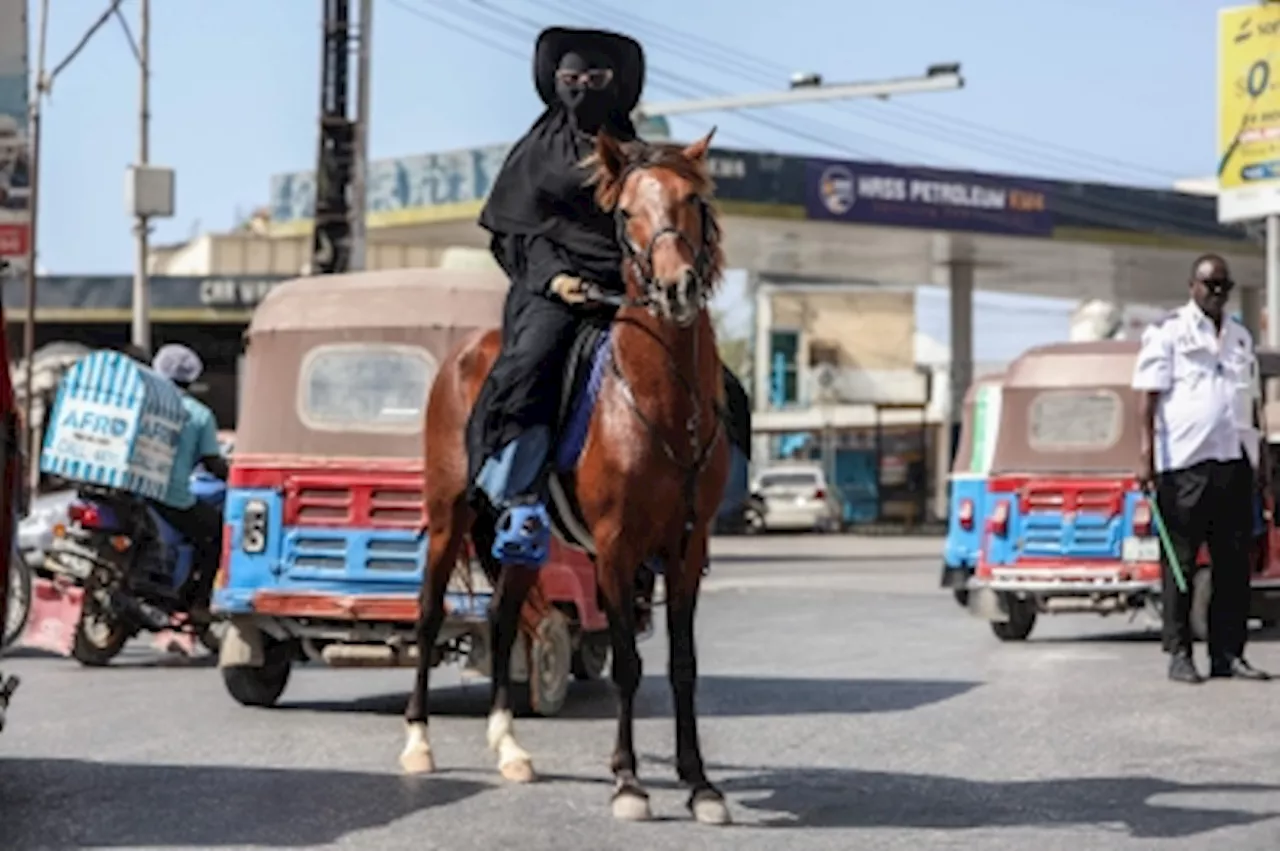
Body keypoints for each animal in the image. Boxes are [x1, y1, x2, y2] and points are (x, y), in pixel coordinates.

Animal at [399, 127, 732, 824]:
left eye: (691, 200)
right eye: (625, 212)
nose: (677, 289)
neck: (662, 403)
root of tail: (464, 354)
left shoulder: (689, 548)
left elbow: (683, 664)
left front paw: (700, 784)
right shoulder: (616, 548)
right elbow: (628, 663)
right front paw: (628, 781)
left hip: (524, 538)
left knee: (502, 620)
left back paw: (509, 748)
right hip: (448, 516)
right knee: (429, 613)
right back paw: (418, 742)